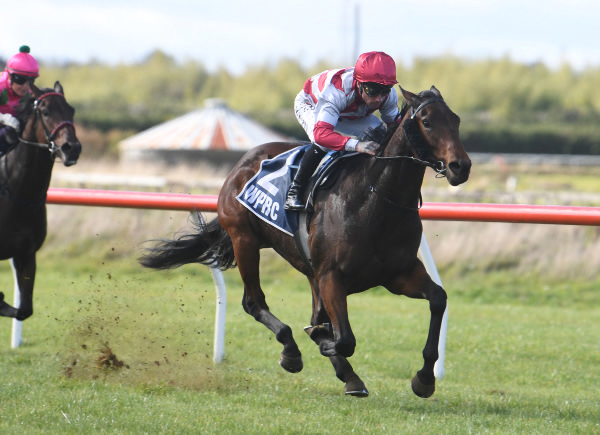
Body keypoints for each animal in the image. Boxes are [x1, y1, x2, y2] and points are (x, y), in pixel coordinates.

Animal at [139, 86, 468, 398]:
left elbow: (438, 299)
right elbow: (344, 339)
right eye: (427, 121)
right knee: (253, 302)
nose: (460, 167)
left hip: (306, 268)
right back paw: (292, 352)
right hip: (244, 240)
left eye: (456, 120)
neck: (375, 199)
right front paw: (321, 342)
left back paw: (346, 374)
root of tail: (242, 163)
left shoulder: (398, 274)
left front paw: (425, 379)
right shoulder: (331, 277)